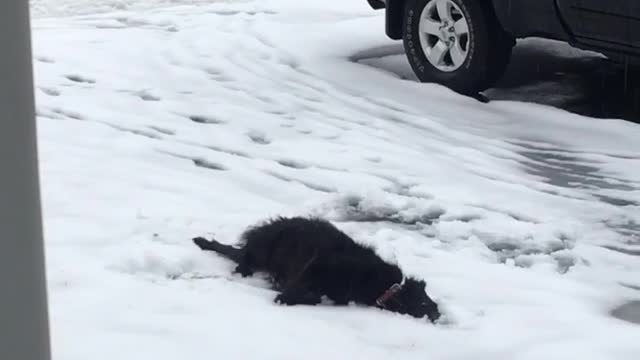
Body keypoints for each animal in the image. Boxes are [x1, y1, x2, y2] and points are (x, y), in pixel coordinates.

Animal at [192, 215, 440, 322]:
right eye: (424, 303)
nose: (439, 313)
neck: (387, 288)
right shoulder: (319, 265)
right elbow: (304, 292)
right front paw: (285, 296)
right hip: (265, 250)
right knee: (240, 257)